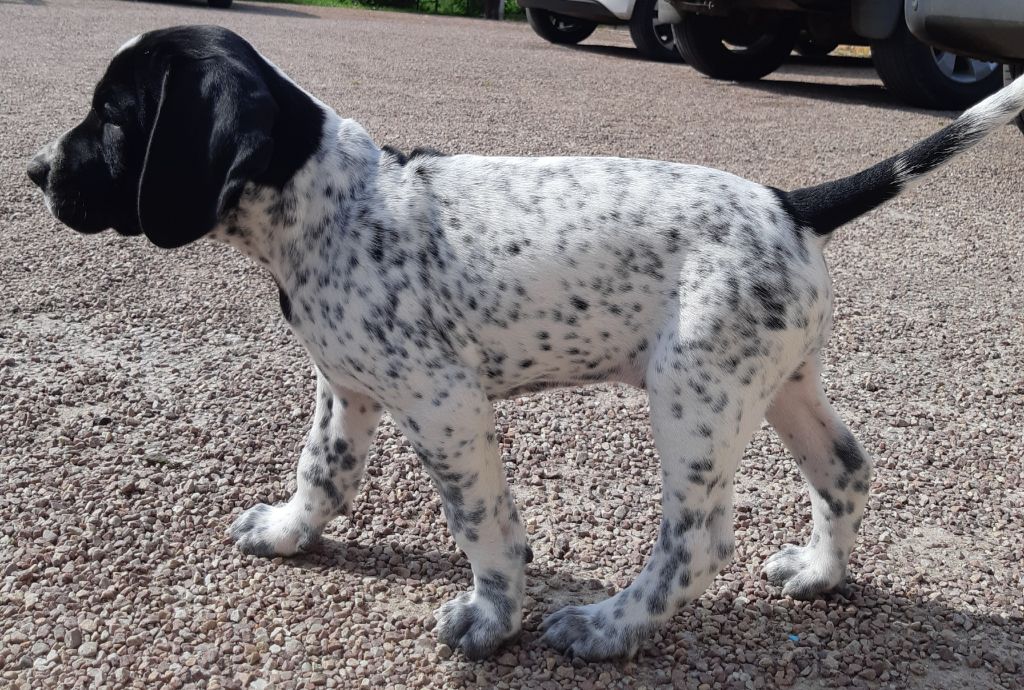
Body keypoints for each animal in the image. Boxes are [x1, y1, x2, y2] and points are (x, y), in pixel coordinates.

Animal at [27, 25, 1024, 661]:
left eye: (113, 115)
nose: (35, 171)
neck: (333, 205)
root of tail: (788, 202)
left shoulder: (445, 408)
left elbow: (483, 525)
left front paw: (490, 618)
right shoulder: (345, 390)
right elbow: (322, 475)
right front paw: (287, 532)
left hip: (693, 399)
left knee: (697, 541)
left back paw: (609, 629)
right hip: (781, 383)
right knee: (846, 469)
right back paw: (821, 573)